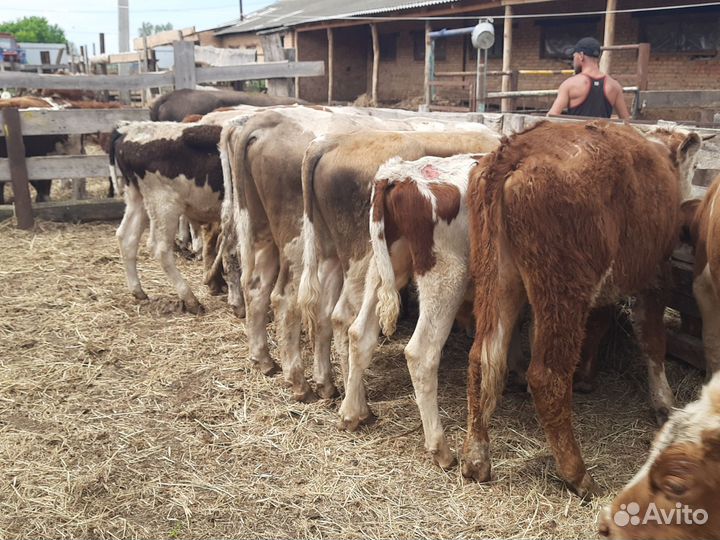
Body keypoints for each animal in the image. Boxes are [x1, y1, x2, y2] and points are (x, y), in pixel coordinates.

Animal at [464, 121, 700, 498]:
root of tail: (515, 149)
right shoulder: (653, 277)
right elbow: (653, 342)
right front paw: (664, 402)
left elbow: (599, 324)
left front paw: (588, 377)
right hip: (563, 288)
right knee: (547, 376)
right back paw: (578, 474)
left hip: (497, 278)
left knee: (483, 360)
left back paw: (475, 459)